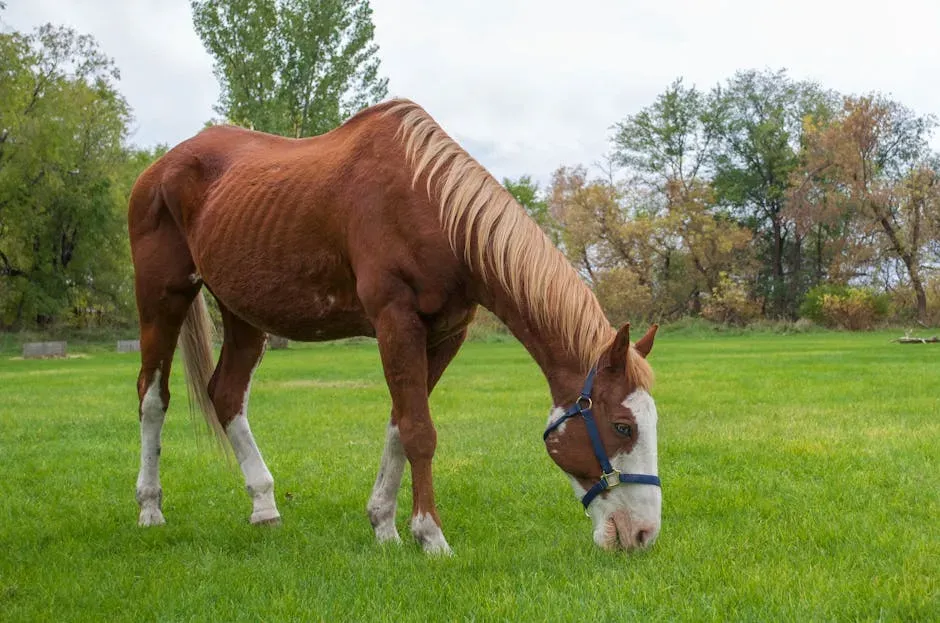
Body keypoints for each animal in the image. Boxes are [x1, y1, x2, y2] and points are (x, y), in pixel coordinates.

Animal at [128, 98, 662, 553]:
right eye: (623, 426)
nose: (642, 535)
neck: (432, 206)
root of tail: (158, 167)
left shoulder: (445, 335)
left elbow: (399, 425)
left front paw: (384, 524)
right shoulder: (395, 321)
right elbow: (419, 431)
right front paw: (431, 536)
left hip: (243, 313)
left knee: (227, 395)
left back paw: (264, 506)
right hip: (161, 299)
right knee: (152, 397)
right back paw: (150, 509)